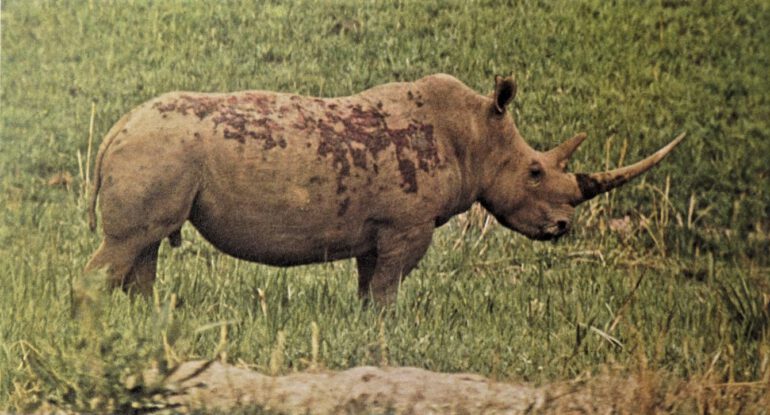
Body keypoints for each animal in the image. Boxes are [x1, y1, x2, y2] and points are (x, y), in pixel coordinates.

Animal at [85, 74, 685, 304]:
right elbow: (388, 290)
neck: (474, 133)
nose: (562, 227)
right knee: (127, 244)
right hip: (157, 152)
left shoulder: (378, 231)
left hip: (159, 154)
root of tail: (115, 130)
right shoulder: (407, 227)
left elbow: (368, 287)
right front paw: (385, 332)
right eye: (536, 171)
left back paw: (144, 319)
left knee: (144, 247)